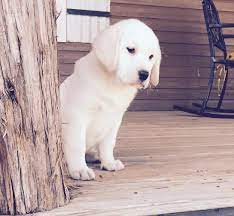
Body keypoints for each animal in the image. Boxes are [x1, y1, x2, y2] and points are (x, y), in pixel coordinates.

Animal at [60, 19, 161, 181]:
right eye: (131, 49)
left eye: (151, 56)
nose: (145, 74)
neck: (113, 83)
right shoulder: (77, 117)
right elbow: (77, 145)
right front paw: (79, 169)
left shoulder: (114, 119)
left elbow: (108, 144)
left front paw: (108, 162)